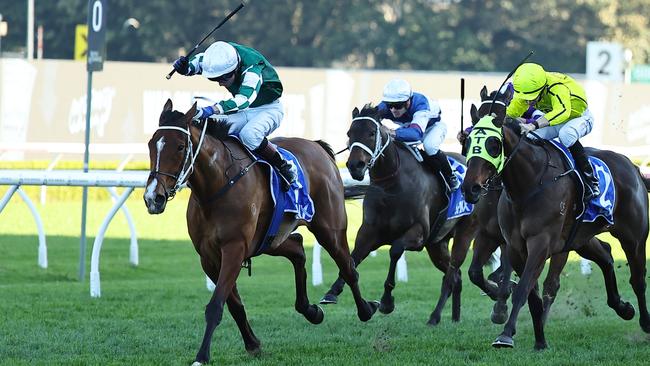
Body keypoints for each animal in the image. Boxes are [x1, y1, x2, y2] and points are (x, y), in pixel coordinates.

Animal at [142, 98, 374, 364]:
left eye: (180, 147)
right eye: (151, 144)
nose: (153, 198)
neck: (217, 185)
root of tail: (318, 147)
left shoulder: (234, 248)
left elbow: (216, 305)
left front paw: (202, 355)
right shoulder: (208, 256)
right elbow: (233, 305)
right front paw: (252, 344)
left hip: (329, 228)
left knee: (348, 267)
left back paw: (366, 310)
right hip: (270, 239)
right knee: (297, 248)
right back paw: (311, 311)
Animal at [318, 104, 476, 324]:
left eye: (371, 132)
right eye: (349, 133)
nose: (354, 166)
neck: (391, 186)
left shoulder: (418, 233)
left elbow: (395, 250)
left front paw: (386, 301)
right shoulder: (369, 233)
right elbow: (353, 257)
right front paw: (332, 291)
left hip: (463, 232)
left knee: (452, 274)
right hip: (437, 244)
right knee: (456, 276)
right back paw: (454, 317)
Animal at [460, 98, 648, 348]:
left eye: (493, 144)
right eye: (468, 141)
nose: (469, 188)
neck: (527, 185)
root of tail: (632, 165)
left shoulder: (541, 243)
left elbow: (523, 288)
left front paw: (506, 333)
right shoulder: (511, 244)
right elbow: (525, 291)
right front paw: (539, 340)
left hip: (633, 237)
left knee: (638, 279)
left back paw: (645, 322)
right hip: (579, 238)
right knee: (607, 255)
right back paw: (623, 308)